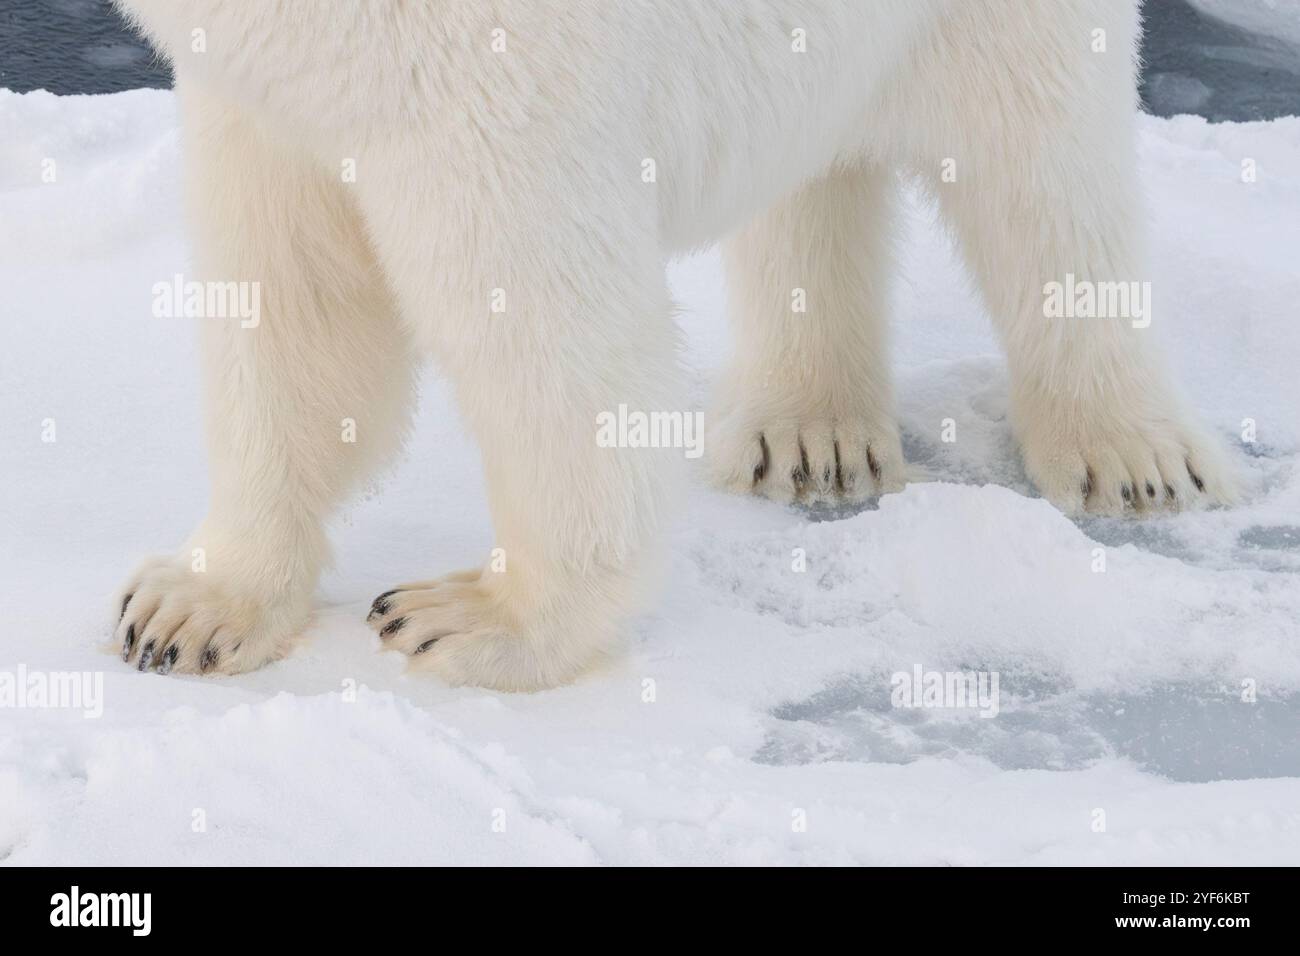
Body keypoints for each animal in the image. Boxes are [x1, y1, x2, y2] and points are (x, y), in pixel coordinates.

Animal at [114, 0, 1237, 686]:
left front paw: (479, 616)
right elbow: (293, 305)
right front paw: (183, 609)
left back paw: (1130, 456)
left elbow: (543, 309)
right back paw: (808, 435)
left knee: (1044, 178)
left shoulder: (488, 67)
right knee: (816, 173)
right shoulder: (270, 90)